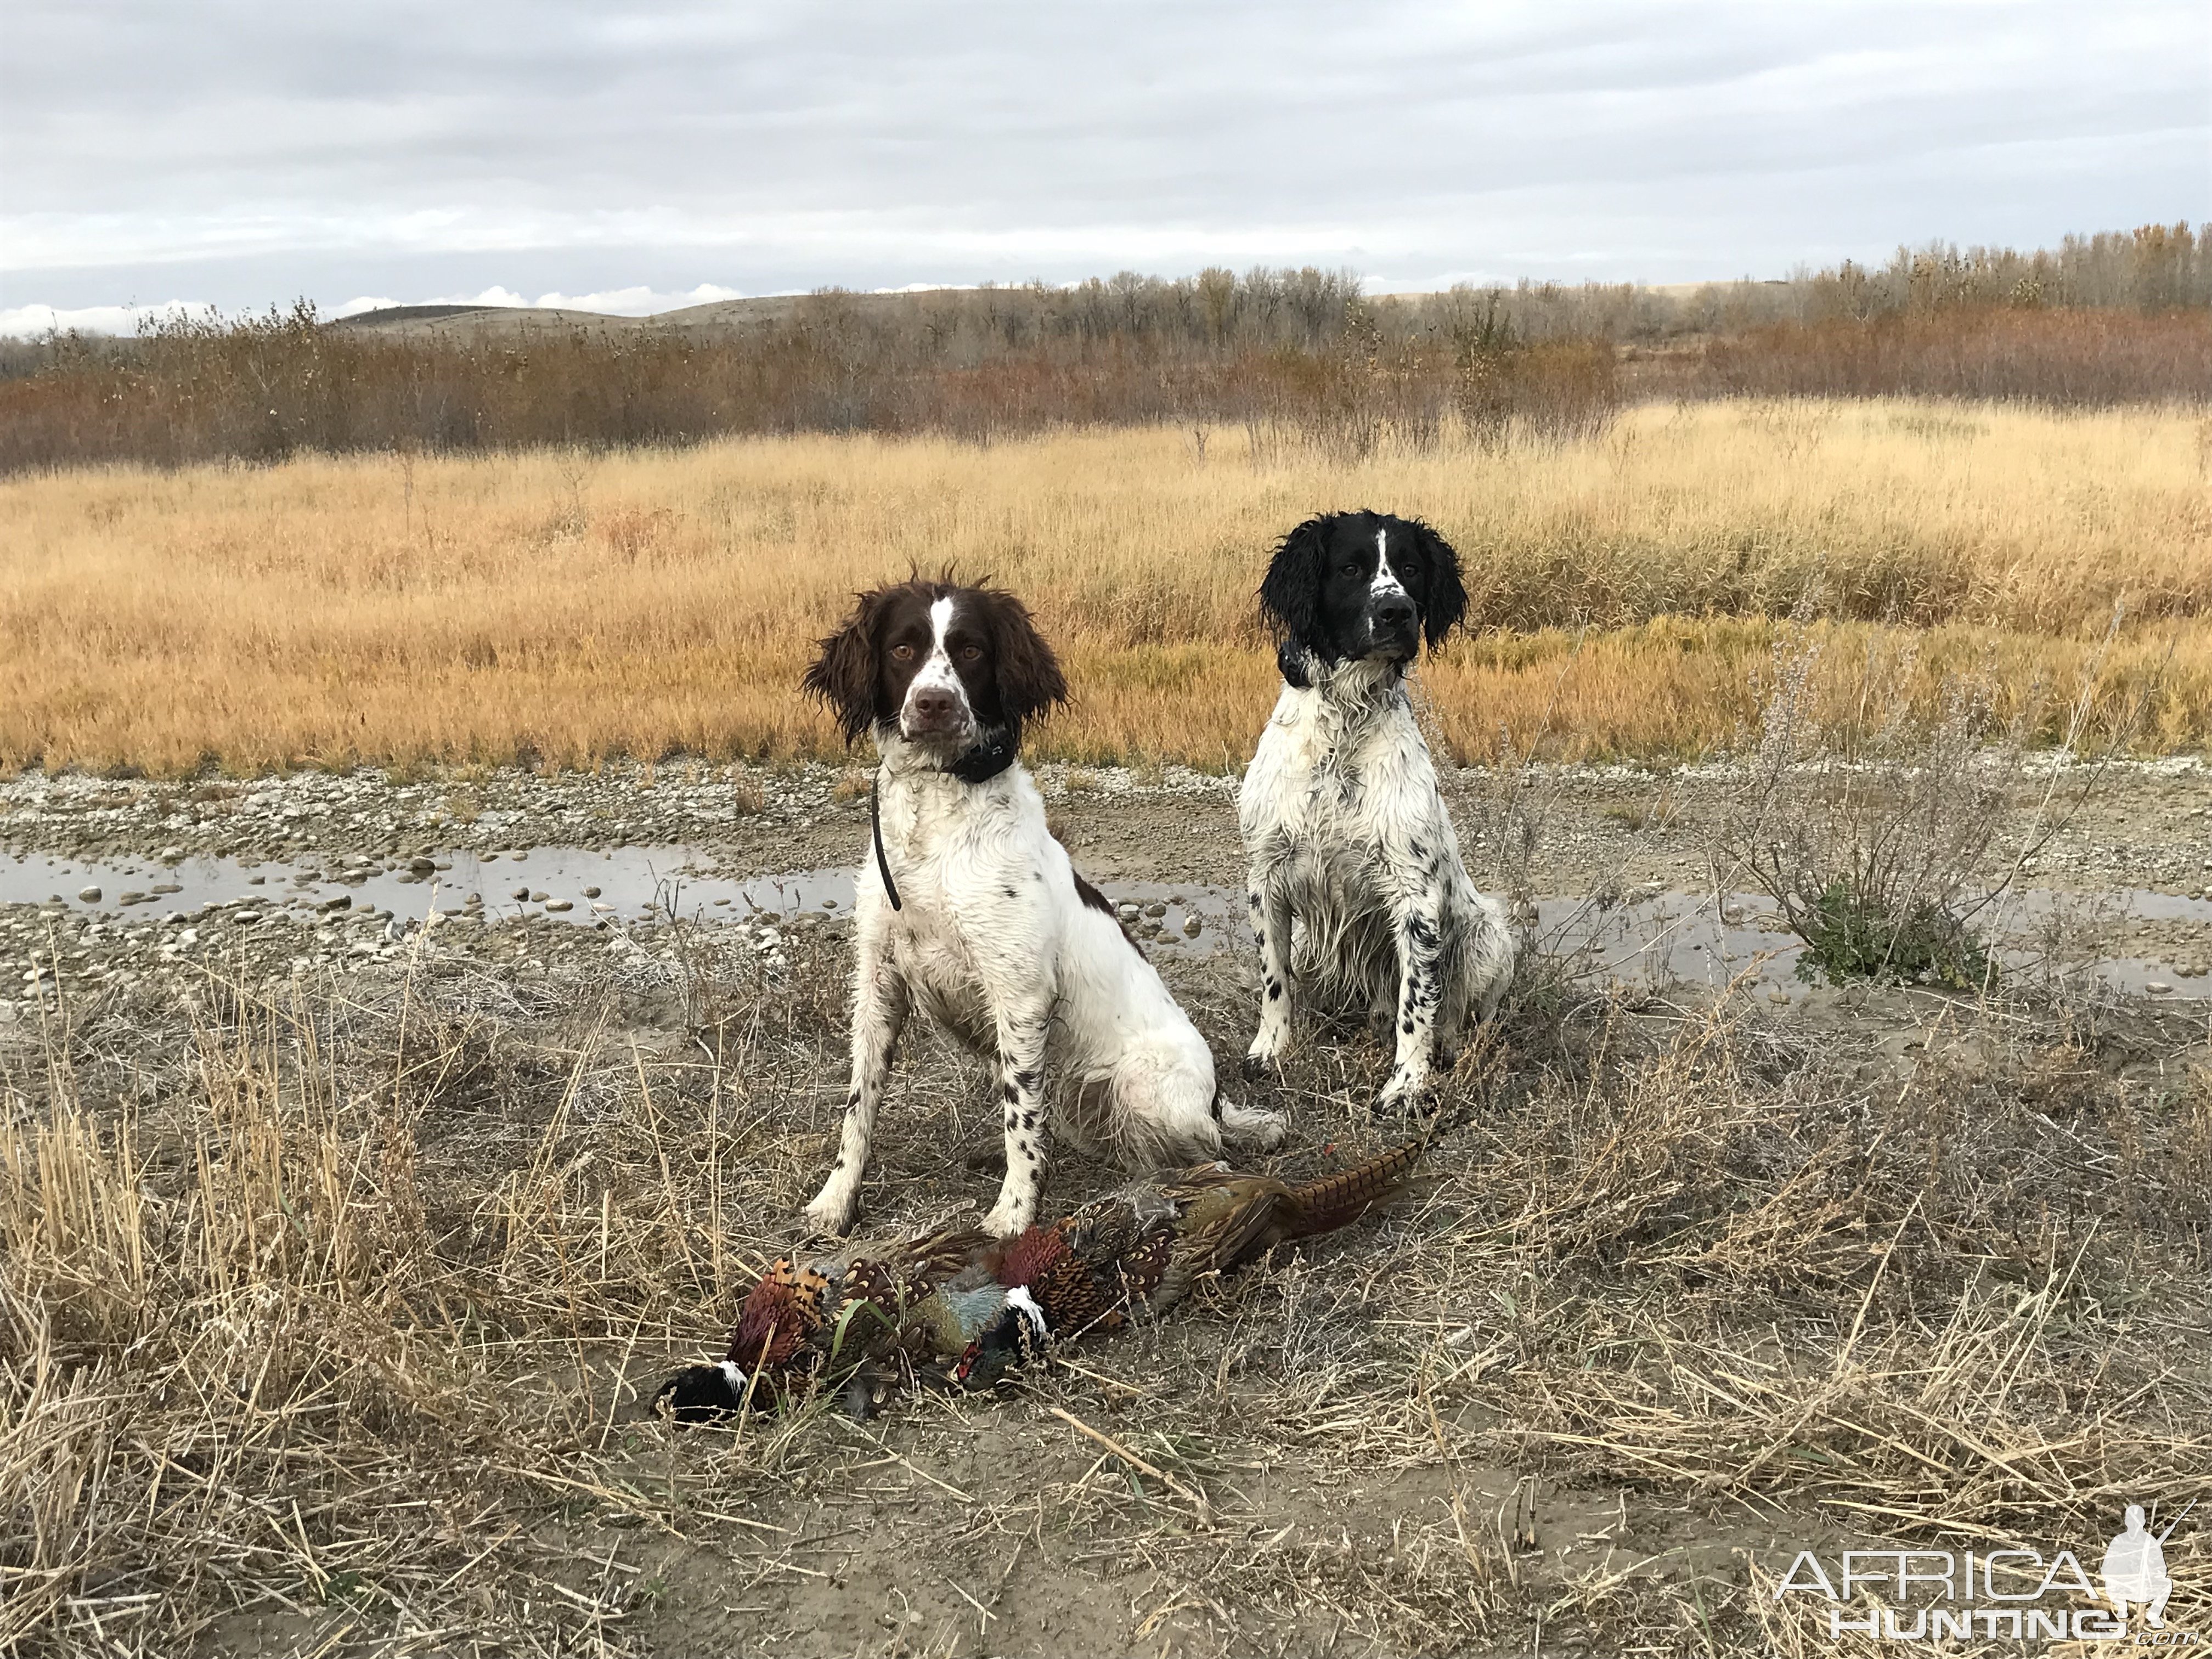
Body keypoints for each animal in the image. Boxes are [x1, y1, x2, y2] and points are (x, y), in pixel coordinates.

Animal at [800, 579, 1283, 1238]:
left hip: (1149, 1092)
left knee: (1204, 1147)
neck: (938, 816)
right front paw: (838, 1198)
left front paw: (1014, 1213)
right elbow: (859, 1107)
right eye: (902, 649)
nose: (933, 704)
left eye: (971, 650)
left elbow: (1023, 1126)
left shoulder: (1021, 996)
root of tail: (1215, 1099)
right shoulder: (879, 983)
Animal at [1238, 513, 1513, 1124]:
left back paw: (1448, 1048)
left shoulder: (1416, 898)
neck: (1344, 723)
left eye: (1410, 568)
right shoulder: (1266, 879)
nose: (1397, 612)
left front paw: (1408, 1084)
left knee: (1458, 1015)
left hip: (1488, 936)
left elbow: (1419, 1007)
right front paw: (1270, 1049)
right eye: (1349, 569)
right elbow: (1275, 982)